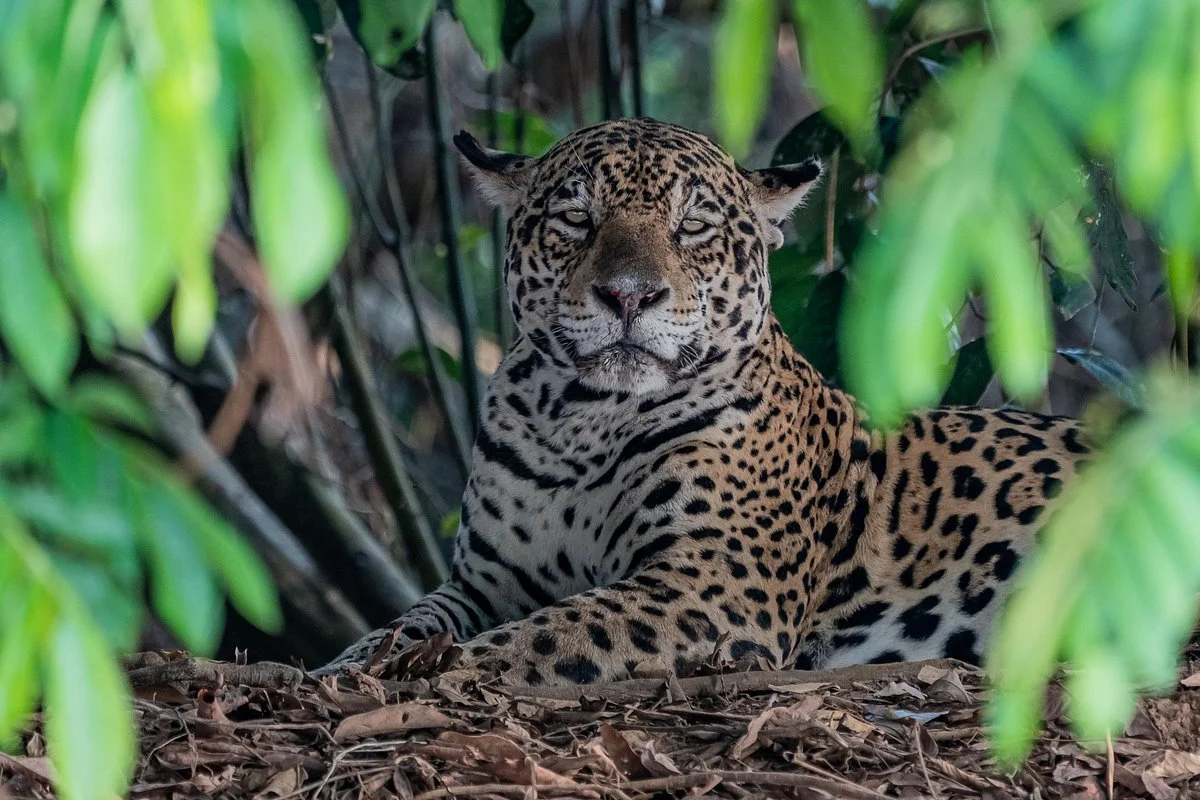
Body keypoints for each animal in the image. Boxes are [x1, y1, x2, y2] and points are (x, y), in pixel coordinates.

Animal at [313, 117, 1089, 686]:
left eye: (693, 227)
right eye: (576, 219)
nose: (628, 294)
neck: (581, 419)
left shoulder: (711, 582)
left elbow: (545, 636)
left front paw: (425, 675)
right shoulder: (485, 581)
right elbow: (404, 622)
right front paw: (338, 669)